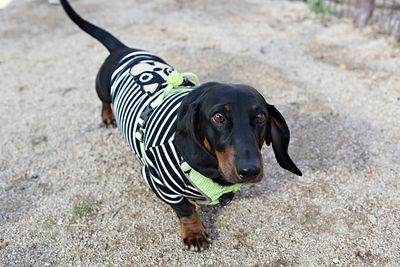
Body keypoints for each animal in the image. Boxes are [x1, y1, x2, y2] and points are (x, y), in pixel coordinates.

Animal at [61, 0, 302, 252]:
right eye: (218, 117)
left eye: (261, 117)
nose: (250, 170)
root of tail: (123, 49)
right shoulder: (158, 181)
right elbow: (186, 209)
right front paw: (194, 233)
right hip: (102, 87)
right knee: (103, 100)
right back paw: (108, 116)